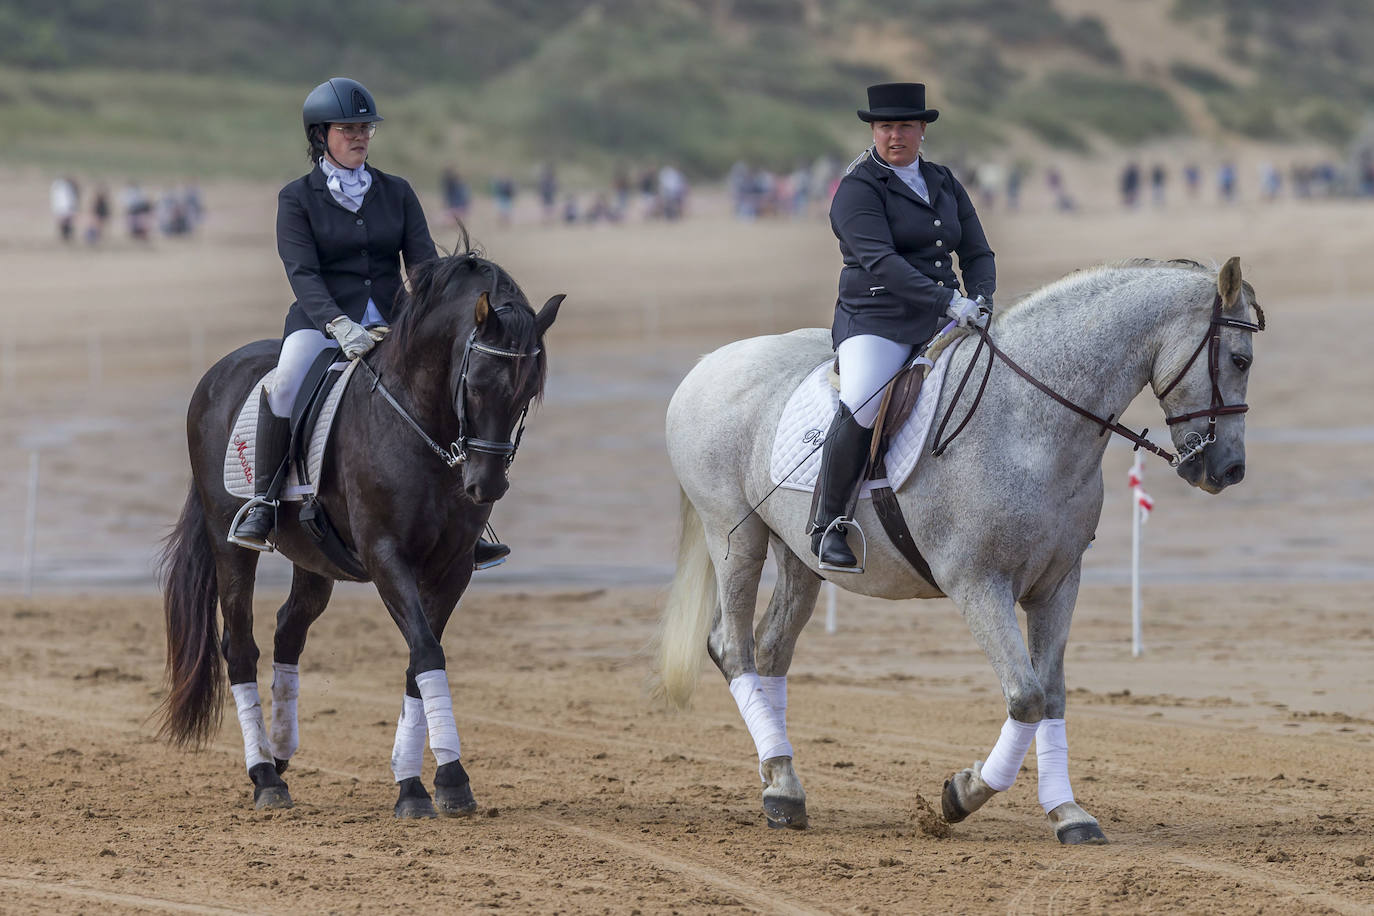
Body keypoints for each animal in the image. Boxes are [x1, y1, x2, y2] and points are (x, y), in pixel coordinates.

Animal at [159, 251, 563, 818]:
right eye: (477, 383)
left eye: (528, 393)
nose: (486, 485)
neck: (419, 421)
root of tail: (218, 374)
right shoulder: (385, 556)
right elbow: (426, 651)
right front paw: (441, 782)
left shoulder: (454, 566)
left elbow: (419, 658)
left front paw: (422, 781)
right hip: (228, 544)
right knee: (240, 647)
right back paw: (265, 777)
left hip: (314, 559)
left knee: (289, 631)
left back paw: (280, 753)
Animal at [654, 258, 1264, 845]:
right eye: (1239, 359)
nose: (1230, 470)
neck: (1028, 425)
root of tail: (709, 364)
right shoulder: (978, 585)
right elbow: (1026, 696)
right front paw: (961, 795)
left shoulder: (1058, 584)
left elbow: (1052, 696)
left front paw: (1068, 814)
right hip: (735, 539)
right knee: (734, 648)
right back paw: (780, 788)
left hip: (799, 559)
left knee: (773, 648)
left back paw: (783, 786)